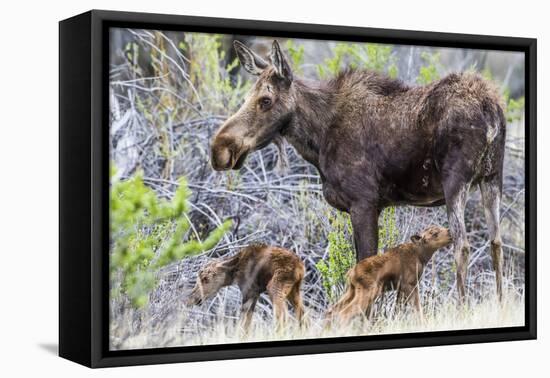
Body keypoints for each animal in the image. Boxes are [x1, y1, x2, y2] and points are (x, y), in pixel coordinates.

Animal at [211, 40, 508, 302]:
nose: (219, 148)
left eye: (265, 100)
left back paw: (462, 307)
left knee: (463, 245)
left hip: (455, 181)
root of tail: (491, 109)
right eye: (247, 97)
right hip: (492, 177)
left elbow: (366, 265)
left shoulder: (363, 202)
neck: (317, 139)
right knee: (496, 243)